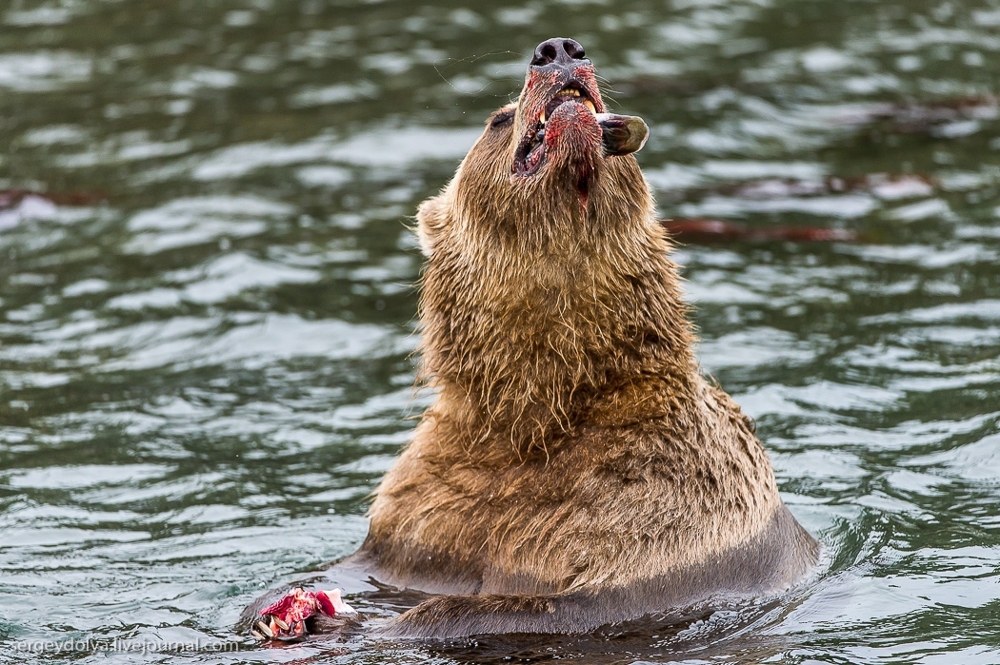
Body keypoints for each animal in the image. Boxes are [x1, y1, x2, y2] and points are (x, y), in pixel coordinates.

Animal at [244, 39, 820, 640]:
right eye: (498, 119)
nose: (560, 50)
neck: (537, 415)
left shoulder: (661, 508)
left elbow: (557, 602)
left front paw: (364, 625)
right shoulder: (428, 507)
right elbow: (372, 555)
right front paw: (276, 604)